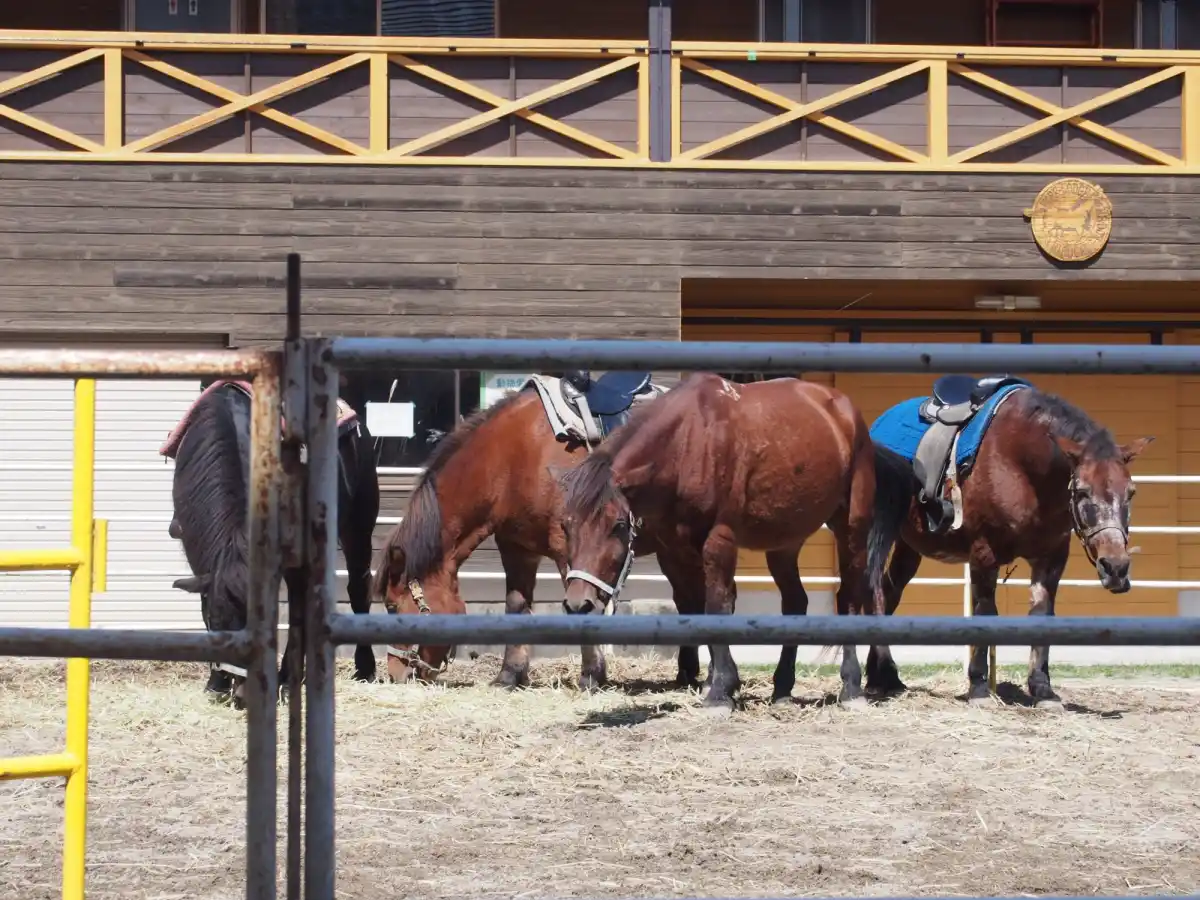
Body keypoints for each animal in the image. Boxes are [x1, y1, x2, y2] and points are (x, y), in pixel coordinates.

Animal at [163, 381, 380, 706]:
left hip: (358, 527)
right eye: (216, 621)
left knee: (355, 590)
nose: (244, 693)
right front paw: (216, 684)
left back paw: (359, 668)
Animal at [369, 370, 712, 692]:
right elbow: (516, 605)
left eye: (391, 606)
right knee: (688, 600)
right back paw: (687, 672)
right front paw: (509, 675)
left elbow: (580, 608)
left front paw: (591, 675)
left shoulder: (568, 549)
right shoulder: (517, 549)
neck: (512, 458)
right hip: (673, 549)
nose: (396, 673)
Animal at [556, 372, 917, 712]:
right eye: (567, 527)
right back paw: (782, 688)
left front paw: (719, 692)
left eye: (618, 525)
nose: (579, 604)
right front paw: (723, 683)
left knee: (850, 599)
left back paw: (852, 687)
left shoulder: (720, 540)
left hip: (851, 528)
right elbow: (702, 609)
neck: (690, 441)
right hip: (784, 542)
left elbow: (717, 605)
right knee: (796, 603)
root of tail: (847, 414)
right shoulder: (680, 550)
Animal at [863, 374, 1154, 707]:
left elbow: (1042, 614)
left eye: (1131, 492)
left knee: (889, 592)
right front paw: (979, 687)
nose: (1115, 568)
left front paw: (1042, 689)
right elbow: (985, 612)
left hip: (910, 546)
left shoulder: (1051, 557)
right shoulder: (983, 553)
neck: (1021, 465)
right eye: (1081, 491)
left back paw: (884, 678)